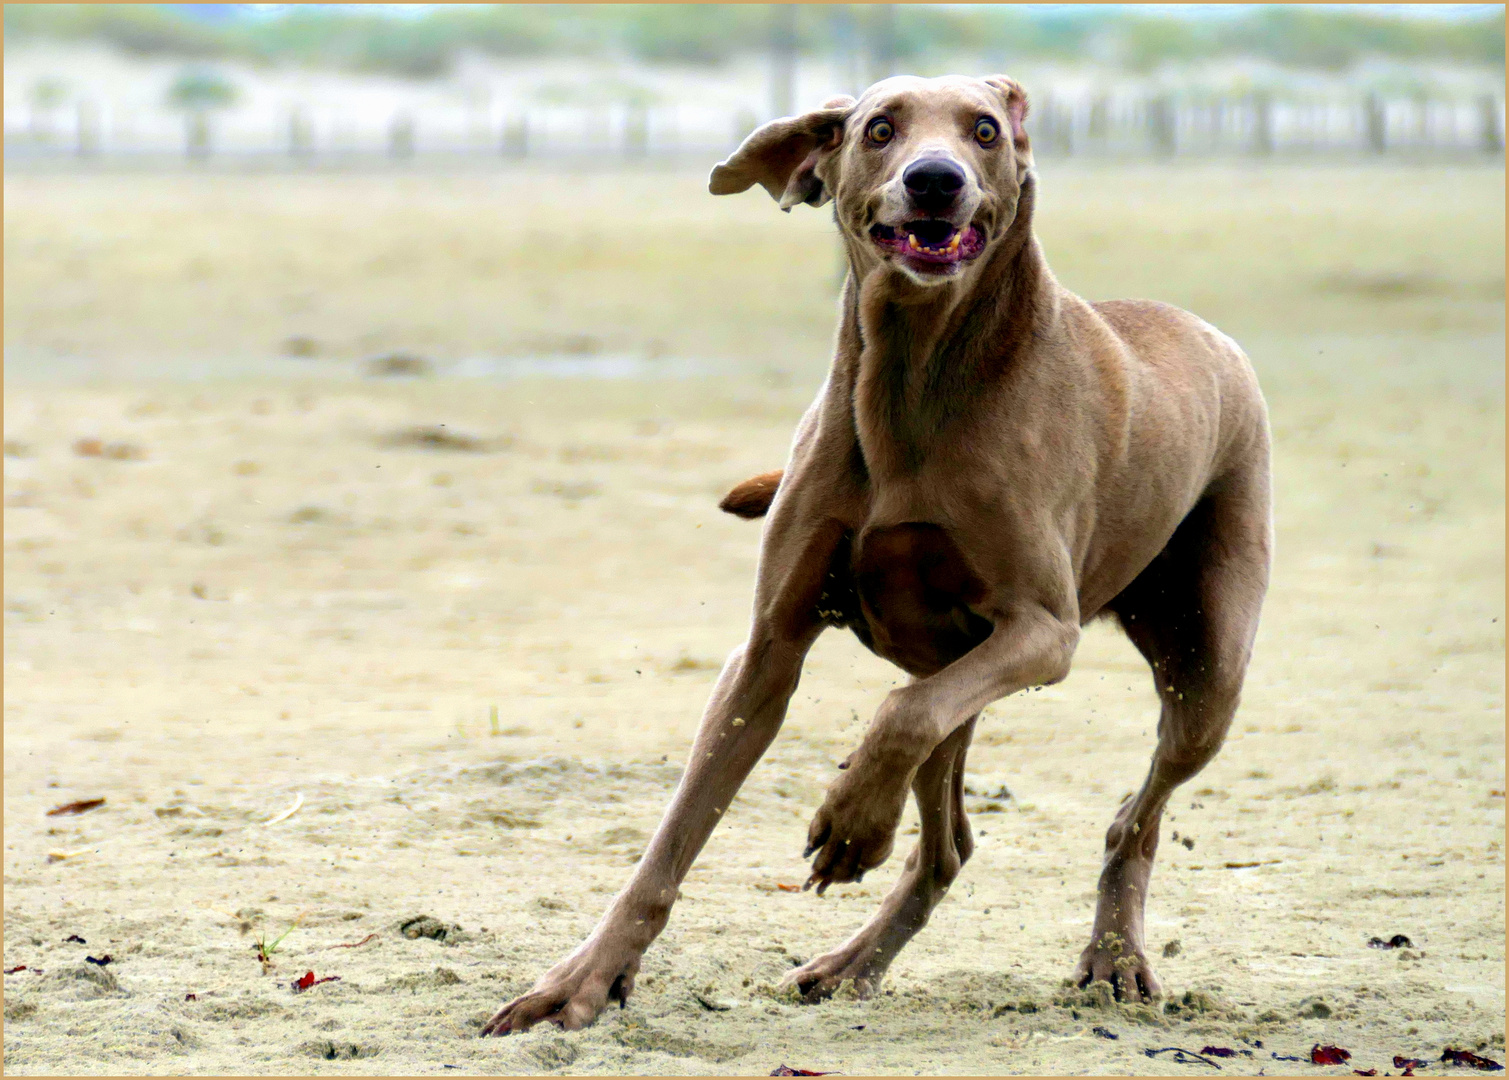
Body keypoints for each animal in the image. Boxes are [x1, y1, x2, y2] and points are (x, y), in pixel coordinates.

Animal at [479, 75, 1261, 1037]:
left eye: (985, 130)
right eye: (879, 129)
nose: (934, 179)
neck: (914, 373)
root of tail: (1207, 331)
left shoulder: (1044, 630)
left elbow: (898, 715)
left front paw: (849, 823)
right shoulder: (767, 649)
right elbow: (671, 843)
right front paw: (581, 981)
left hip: (1204, 662)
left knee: (1132, 813)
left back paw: (1113, 959)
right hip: (958, 659)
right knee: (949, 839)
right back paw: (852, 964)